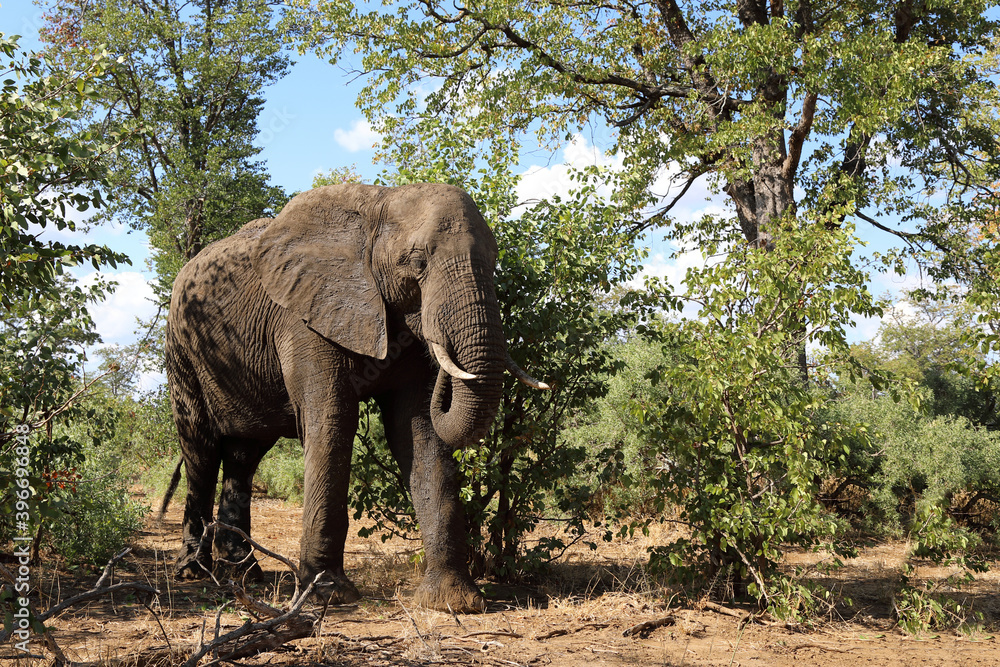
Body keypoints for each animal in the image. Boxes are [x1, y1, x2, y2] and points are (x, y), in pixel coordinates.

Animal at [164, 182, 547, 613]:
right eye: (417, 262)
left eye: (495, 261)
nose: (446, 360)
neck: (380, 205)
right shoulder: (305, 317)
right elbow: (333, 421)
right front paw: (328, 595)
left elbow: (418, 433)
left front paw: (453, 602)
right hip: (182, 348)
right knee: (200, 449)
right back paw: (194, 572)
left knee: (243, 458)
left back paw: (246, 576)